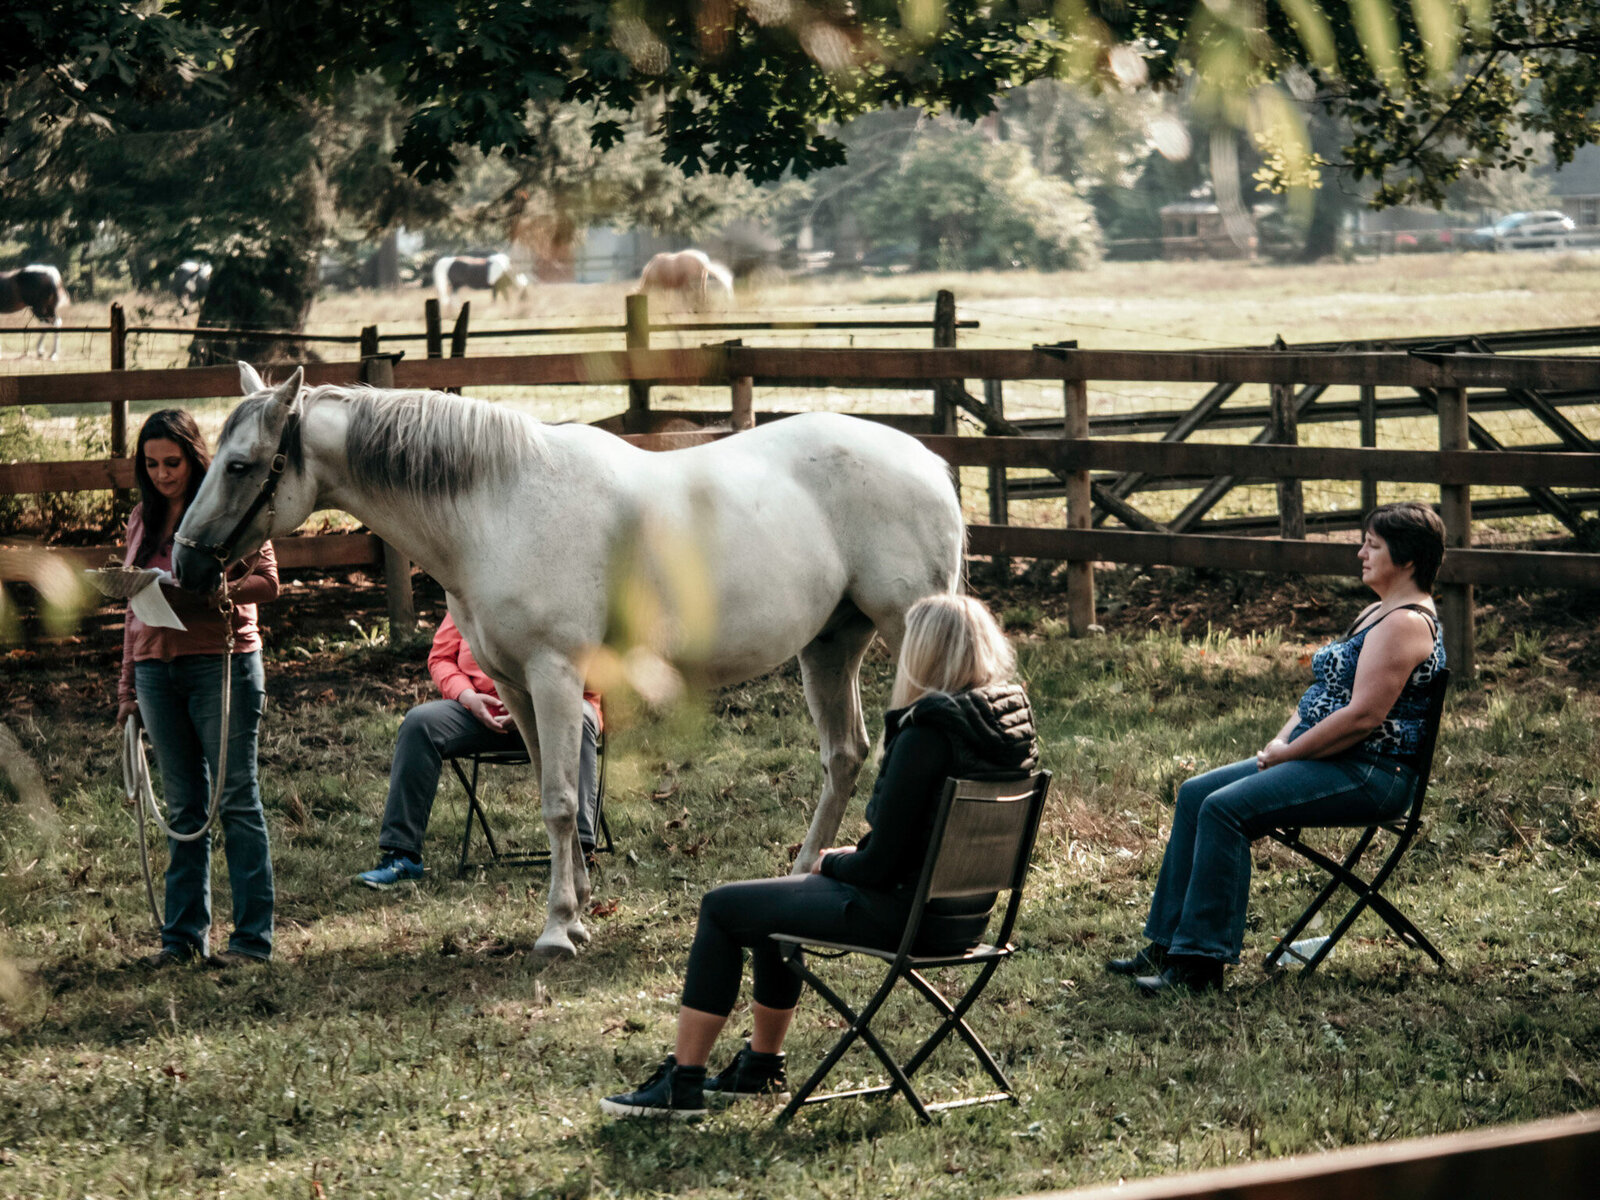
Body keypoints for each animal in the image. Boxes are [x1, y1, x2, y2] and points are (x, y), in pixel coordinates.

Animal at [175, 364, 960, 960]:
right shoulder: (516, 688)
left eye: (240, 465)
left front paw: (557, 930)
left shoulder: (555, 675)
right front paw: (577, 906)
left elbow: (558, 801)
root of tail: (929, 461)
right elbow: (554, 795)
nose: (185, 567)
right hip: (831, 644)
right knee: (844, 755)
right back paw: (797, 882)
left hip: (911, 634)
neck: (497, 507)